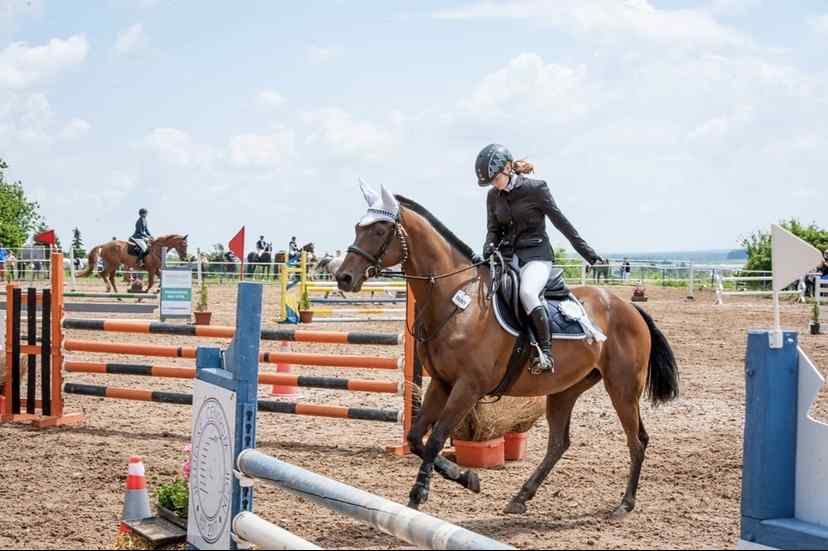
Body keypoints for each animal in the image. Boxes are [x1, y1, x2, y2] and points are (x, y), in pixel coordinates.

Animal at [336, 189, 680, 516]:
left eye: (380, 231)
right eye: (356, 227)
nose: (343, 277)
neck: (458, 299)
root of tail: (628, 307)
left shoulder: (468, 387)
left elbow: (434, 439)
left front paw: (423, 493)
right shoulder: (442, 383)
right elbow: (416, 438)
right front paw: (465, 478)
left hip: (622, 387)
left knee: (636, 440)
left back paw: (625, 504)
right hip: (566, 390)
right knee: (559, 443)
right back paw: (521, 497)